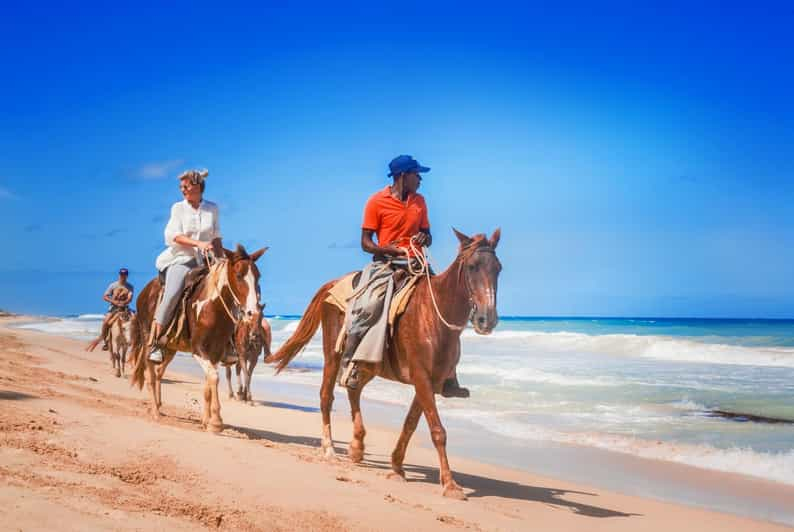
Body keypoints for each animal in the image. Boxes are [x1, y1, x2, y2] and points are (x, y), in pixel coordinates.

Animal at [130, 245, 266, 432]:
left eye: (258, 277)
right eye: (239, 275)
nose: (252, 312)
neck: (213, 307)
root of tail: (143, 293)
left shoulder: (216, 352)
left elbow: (208, 384)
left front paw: (206, 420)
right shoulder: (199, 350)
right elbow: (214, 377)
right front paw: (216, 422)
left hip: (170, 348)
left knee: (159, 373)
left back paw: (158, 406)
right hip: (147, 339)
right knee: (150, 375)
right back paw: (155, 412)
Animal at [270, 228, 498, 498]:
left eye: (498, 268)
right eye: (472, 267)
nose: (487, 320)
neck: (435, 315)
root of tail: (332, 284)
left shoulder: (430, 383)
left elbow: (410, 424)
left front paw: (397, 467)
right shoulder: (421, 377)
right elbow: (437, 431)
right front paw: (450, 485)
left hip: (369, 363)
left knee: (354, 389)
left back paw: (357, 446)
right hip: (333, 355)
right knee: (327, 396)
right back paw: (330, 449)